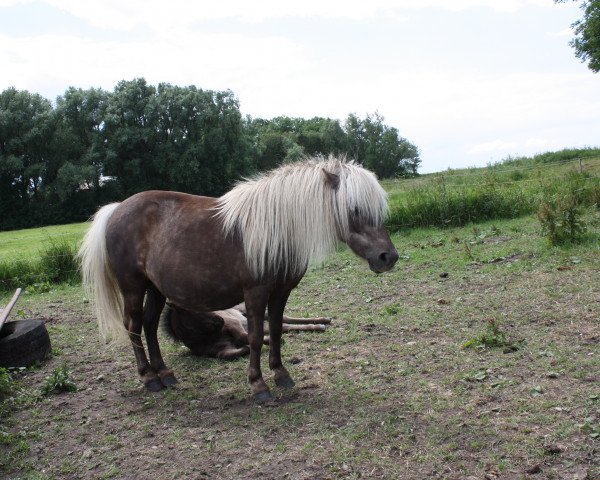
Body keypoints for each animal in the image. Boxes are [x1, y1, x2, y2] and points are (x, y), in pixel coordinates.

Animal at [79, 157, 398, 402]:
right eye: (354, 209)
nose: (388, 257)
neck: (276, 228)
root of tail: (117, 208)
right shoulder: (255, 294)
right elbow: (257, 337)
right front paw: (259, 385)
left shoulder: (281, 293)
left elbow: (277, 331)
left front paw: (281, 374)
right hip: (133, 287)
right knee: (133, 326)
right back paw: (149, 378)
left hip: (156, 290)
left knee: (149, 325)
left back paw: (166, 374)